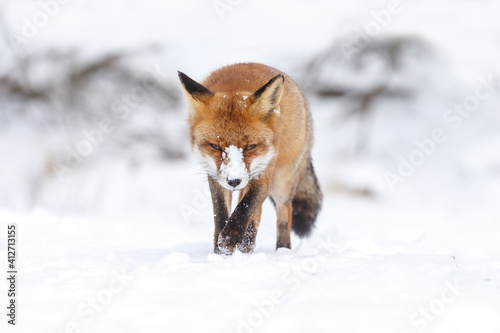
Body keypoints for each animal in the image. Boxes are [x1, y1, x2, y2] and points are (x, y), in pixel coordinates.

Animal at [178, 62, 322, 253]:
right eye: (215, 146)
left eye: (250, 147)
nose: (234, 181)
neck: (234, 88)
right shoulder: (215, 176)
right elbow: (221, 213)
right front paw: (220, 250)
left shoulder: (264, 171)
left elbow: (246, 206)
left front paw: (229, 239)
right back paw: (247, 245)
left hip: (282, 183)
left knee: (284, 213)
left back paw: (282, 250)